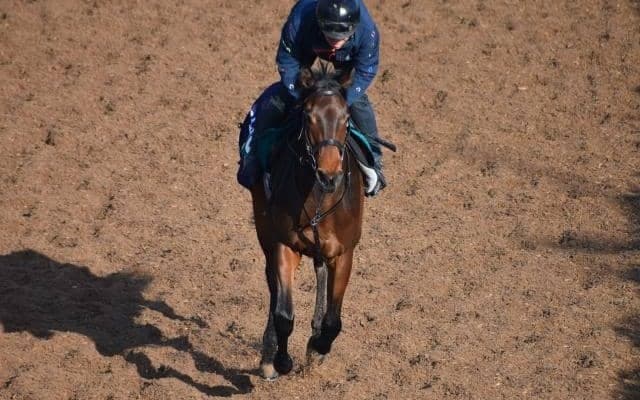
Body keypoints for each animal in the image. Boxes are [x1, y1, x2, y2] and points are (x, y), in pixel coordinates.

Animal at [250, 64, 365, 380]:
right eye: (309, 115)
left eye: (346, 117)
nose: (329, 174)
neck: (319, 196)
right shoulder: (284, 245)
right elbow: (283, 314)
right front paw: (280, 361)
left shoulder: (343, 252)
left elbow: (333, 322)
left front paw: (317, 346)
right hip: (265, 229)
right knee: (272, 285)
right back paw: (268, 354)